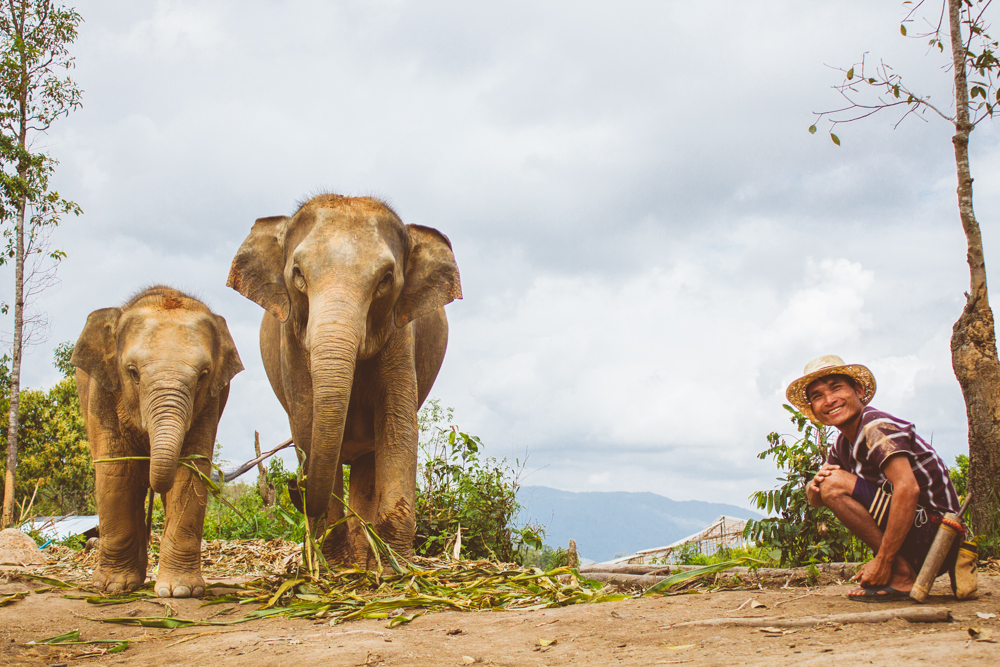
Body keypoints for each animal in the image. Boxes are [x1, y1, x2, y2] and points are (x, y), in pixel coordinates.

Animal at [71, 284, 244, 596]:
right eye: (132, 372)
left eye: (203, 375)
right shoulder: (102, 391)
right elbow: (116, 470)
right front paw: (113, 587)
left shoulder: (210, 402)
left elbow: (191, 471)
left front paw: (179, 591)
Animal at [227, 194, 460, 568]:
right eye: (298, 274)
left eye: (385, 279)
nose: (293, 484)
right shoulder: (291, 340)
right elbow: (307, 425)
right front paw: (334, 566)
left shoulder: (401, 336)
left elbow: (397, 427)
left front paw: (396, 569)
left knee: (368, 465)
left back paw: (366, 562)